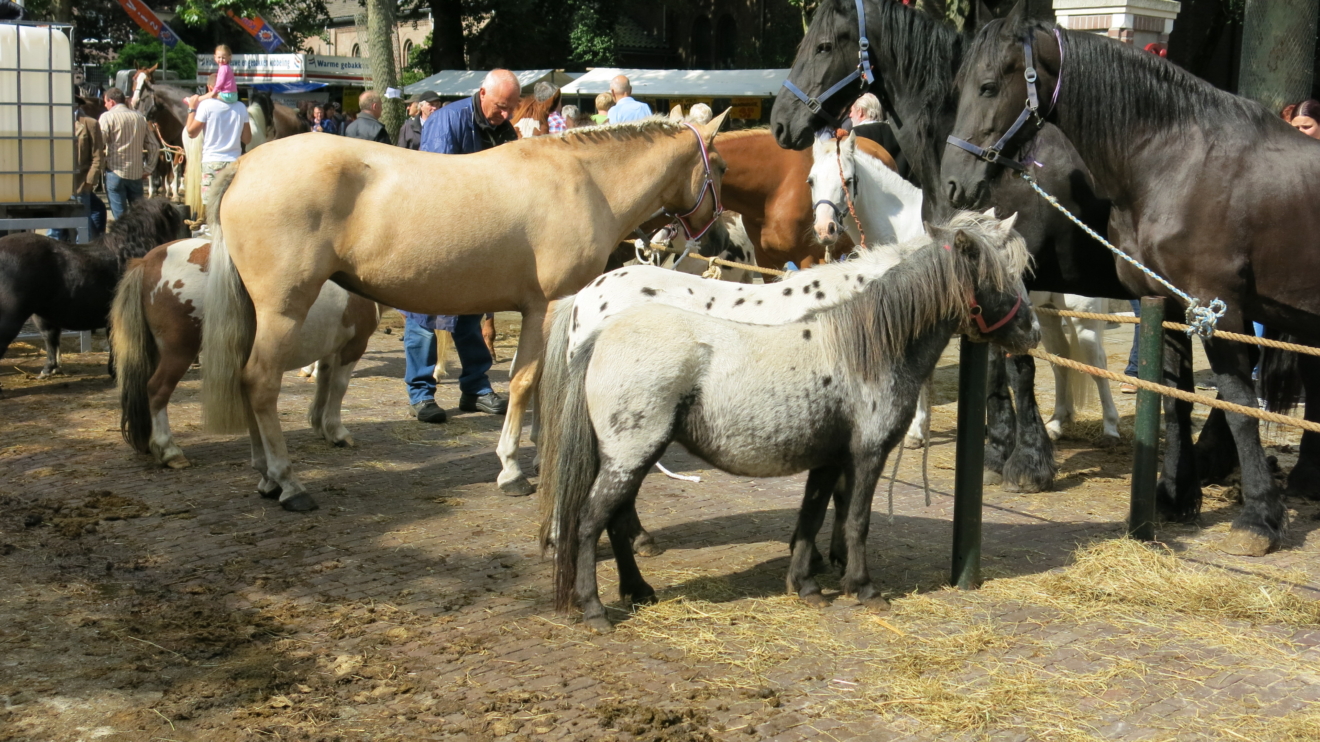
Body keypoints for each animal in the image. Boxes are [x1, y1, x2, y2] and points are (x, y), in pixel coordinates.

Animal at [110, 238, 379, 471]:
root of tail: (148, 261)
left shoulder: (330, 350)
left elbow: (323, 384)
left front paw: (321, 427)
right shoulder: (353, 347)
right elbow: (339, 387)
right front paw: (337, 433)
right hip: (179, 352)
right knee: (157, 390)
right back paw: (169, 451)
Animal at [198, 114, 731, 511]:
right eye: (722, 167)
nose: (720, 243)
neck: (585, 182)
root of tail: (244, 165)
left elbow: (538, 381)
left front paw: (538, 454)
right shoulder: (545, 306)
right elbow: (525, 380)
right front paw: (512, 469)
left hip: (257, 312)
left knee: (245, 378)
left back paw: (266, 476)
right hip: (283, 309)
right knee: (260, 382)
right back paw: (288, 483)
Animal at [541, 211, 1038, 632]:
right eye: (1002, 277)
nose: (1031, 332)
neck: (867, 346)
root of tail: (601, 332)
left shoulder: (828, 459)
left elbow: (811, 516)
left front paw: (806, 584)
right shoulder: (867, 455)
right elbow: (856, 519)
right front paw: (863, 587)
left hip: (629, 457)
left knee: (615, 519)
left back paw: (639, 590)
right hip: (632, 455)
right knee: (590, 521)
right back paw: (596, 609)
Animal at [771, 0, 1128, 494]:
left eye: (823, 45)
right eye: (809, 180)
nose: (780, 123)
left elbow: (1018, 366)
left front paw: (1028, 463)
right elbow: (993, 360)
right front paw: (998, 450)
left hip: (1087, 308)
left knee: (1094, 357)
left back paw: (1112, 429)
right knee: (1063, 359)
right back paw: (1060, 423)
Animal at [940, 7, 1320, 555]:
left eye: (988, 86)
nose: (954, 182)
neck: (1178, 162)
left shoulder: (1218, 308)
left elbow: (1238, 403)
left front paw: (1258, 519)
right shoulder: (1167, 302)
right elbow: (1173, 396)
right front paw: (1175, 497)